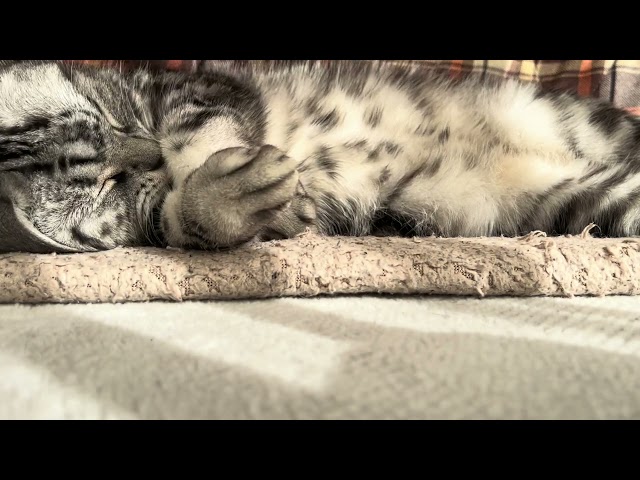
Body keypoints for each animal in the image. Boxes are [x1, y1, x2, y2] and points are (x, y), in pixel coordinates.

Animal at [1, 60, 640, 253]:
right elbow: (181, 220)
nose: (147, 149)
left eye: (111, 115)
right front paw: (228, 201)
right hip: (589, 200)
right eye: (111, 182)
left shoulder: (198, 88)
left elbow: (196, 139)